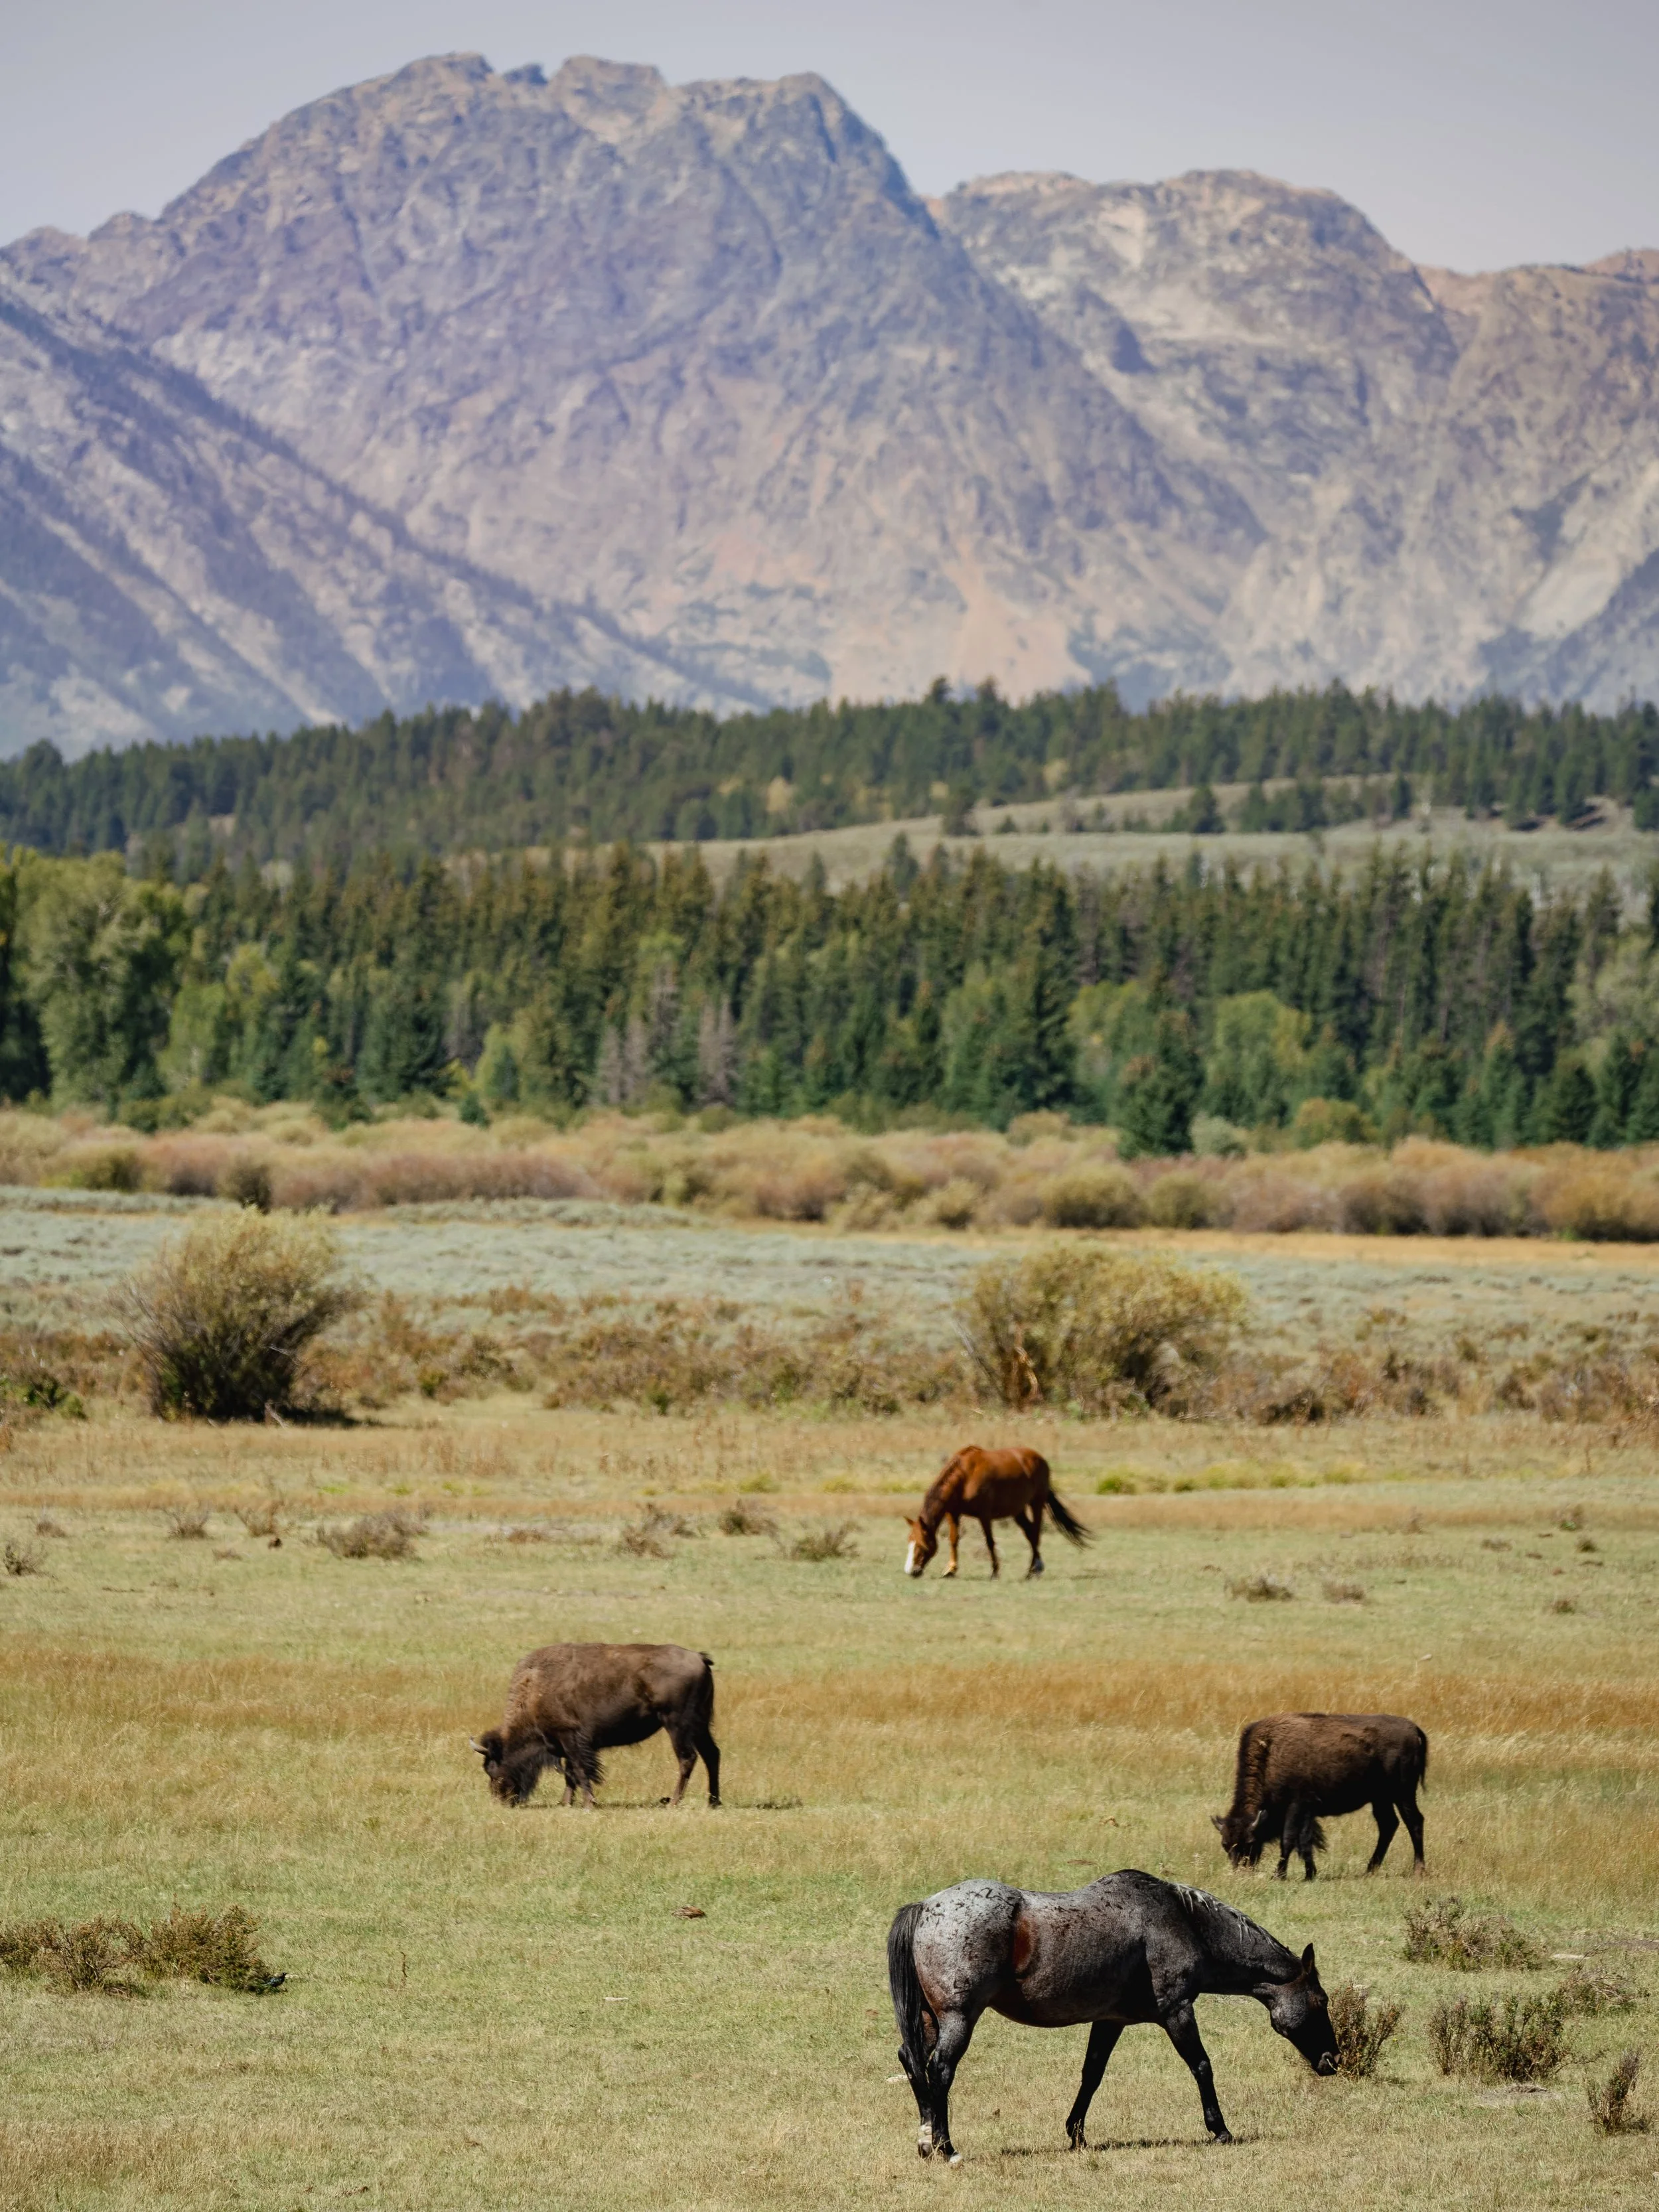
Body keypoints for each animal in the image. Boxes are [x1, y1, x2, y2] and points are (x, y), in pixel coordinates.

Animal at [471, 1641, 720, 1808]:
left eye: (492, 1769)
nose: (501, 1801)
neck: (535, 1688)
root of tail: (699, 1657)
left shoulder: (570, 1736)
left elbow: (580, 1770)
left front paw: (589, 1803)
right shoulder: (565, 1743)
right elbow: (570, 1772)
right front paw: (566, 1803)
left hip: (677, 1724)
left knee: (687, 1758)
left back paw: (674, 1802)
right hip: (700, 1724)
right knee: (711, 1754)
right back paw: (713, 1801)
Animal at [887, 1868, 1337, 2164]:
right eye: (1322, 2001)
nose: (1333, 2060)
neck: (1180, 1920)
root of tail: (926, 1907)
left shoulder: (1110, 2021)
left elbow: (1092, 2075)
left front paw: (1077, 2135)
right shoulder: (1177, 2011)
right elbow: (1201, 2066)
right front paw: (1220, 2130)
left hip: (930, 2019)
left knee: (913, 2064)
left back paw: (926, 2142)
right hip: (959, 2018)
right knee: (940, 2070)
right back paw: (946, 2148)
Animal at [903, 1444, 1088, 1579]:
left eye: (922, 1545)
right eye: (910, 1542)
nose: (911, 1571)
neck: (965, 1477)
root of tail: (1039, 1459)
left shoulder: (985, 1515)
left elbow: (990, 1542)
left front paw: (995, 1571)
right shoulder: (953, 1514)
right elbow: (954, 1540)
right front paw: (951, 1569)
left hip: (1036, 1503)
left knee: (1036, 1533)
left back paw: (1035, 1569)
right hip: (1018, 1510)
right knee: (1030, 1533)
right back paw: (1033, 1568)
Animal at [1213, 1711, 1427, 1880]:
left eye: (1250, 1842)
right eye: (1225, 1845)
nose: (1241, 1873)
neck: (1271, 1753)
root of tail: (1413, 1728)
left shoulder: (1296, 1806)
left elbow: (1289, 1839)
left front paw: (1279, 1875)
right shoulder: (1308, 1811)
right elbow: (1305, 1842)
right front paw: (1310, 1874)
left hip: (1403, 1793)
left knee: (1414, 1822)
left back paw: (1418, 1871)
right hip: (1381, 1798)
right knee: (1388, 1825)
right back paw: (1370, 1871)